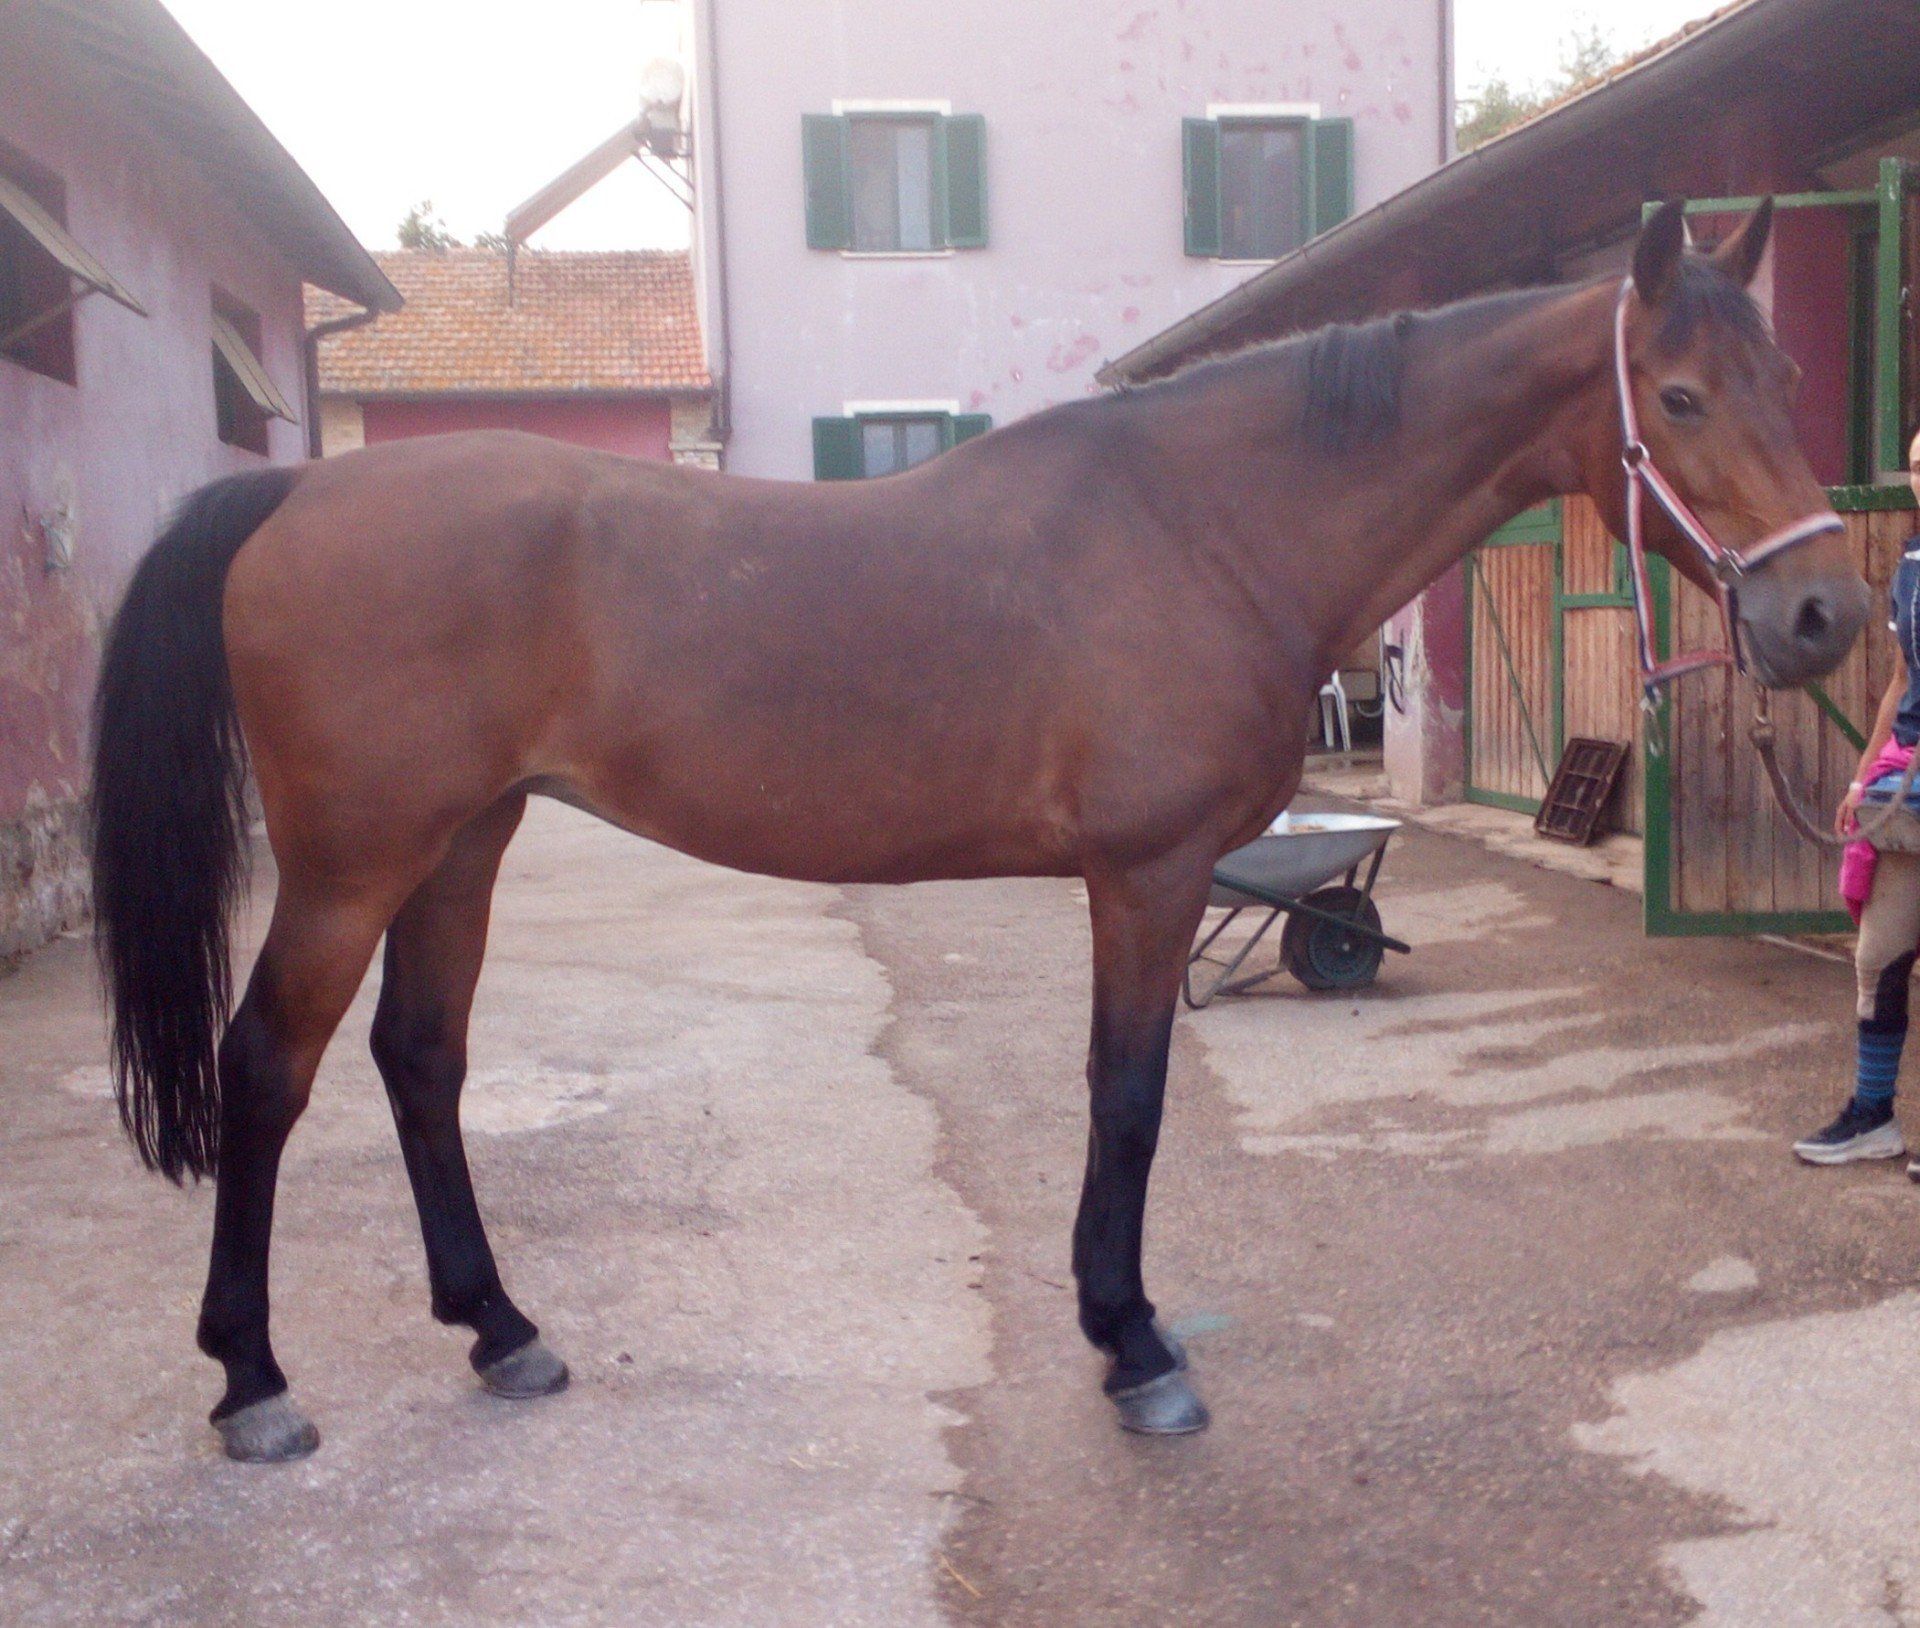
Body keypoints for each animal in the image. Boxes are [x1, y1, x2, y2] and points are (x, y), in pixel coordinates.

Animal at [90, 199, 1868, 1461]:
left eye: (1790, 379)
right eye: (1682, 395)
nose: (1826, 613)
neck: (1207, 521)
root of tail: (299, 494)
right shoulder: (1146, 878)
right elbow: (1129, 1102)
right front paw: (1134, 1348)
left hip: (464, 842)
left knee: (422, 1060)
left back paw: (501, 1329)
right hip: (357, 861)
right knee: (268, 1070)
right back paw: (253, 1381)